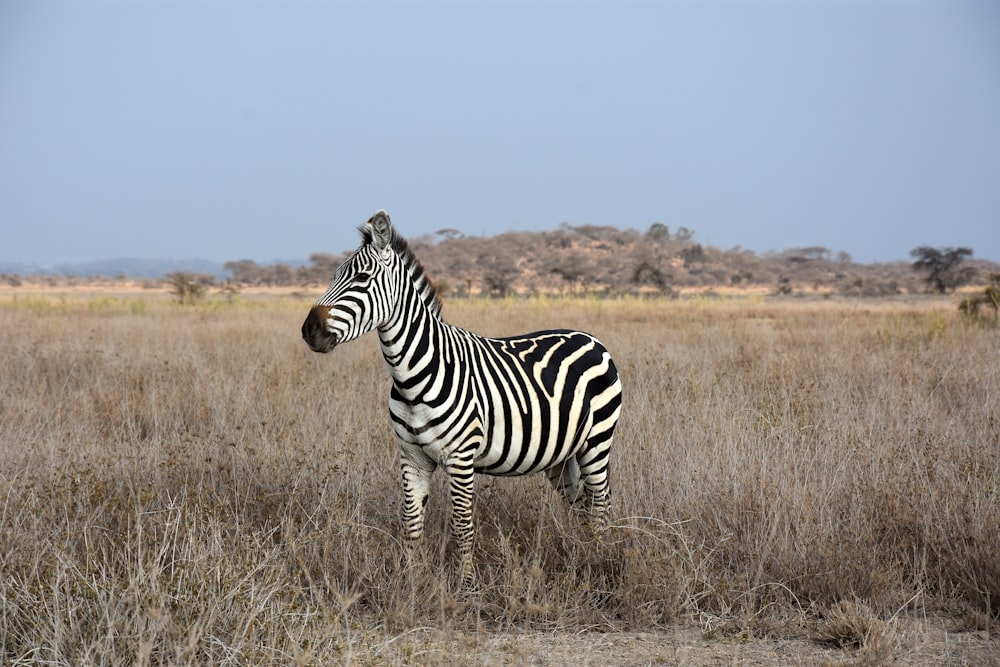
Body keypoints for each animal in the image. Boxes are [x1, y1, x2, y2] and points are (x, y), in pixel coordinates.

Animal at [300, 211, 620, 588]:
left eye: (362, 278)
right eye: (334, 275)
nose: (309, 330)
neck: (413, 375)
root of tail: (590, 338)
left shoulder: (461, 458)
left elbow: (462, 524)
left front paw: (467, 584)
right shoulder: (413, 458)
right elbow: (411, 523)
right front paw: (409, 582)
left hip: (596, 441)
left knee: (601, 504)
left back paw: (599, 560)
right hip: (561, 454)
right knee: (582, 504)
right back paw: (580, 554)